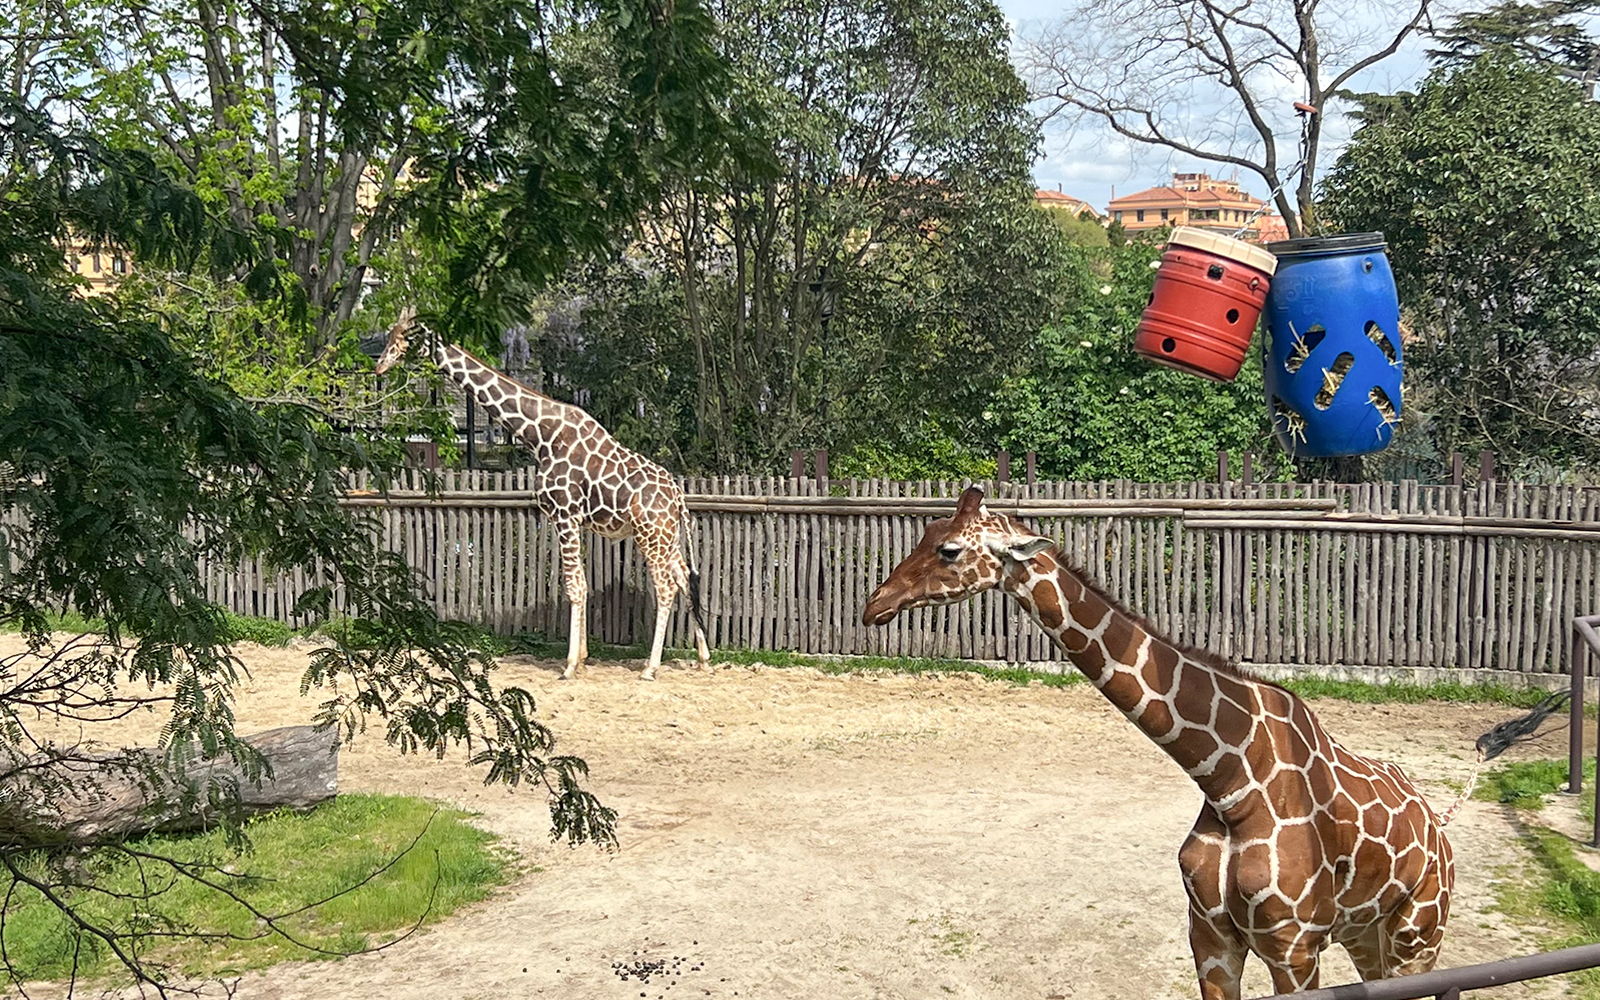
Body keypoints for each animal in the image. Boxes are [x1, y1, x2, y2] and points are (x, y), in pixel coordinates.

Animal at [375, 309, 711, 681]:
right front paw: (583, 658)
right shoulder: (572, 520)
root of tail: (678, 496)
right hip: (667, 536)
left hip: (649, 534)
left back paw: (651, 668)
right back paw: (703, 657)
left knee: (666, 587)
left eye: (404, 336)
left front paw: (569, 666)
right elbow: (581, 582)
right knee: (685, 578)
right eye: (390, 334)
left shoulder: (564, 514)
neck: (542, 435)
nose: (379, 366)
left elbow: (574, 586)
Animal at [862, 486, 1564, 999]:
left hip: (1420, 933)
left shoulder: (1293, 949)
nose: (875, 603)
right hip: (1369, 937)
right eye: (924, 535)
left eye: (950, 549)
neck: (1228, 780)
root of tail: (1441, 822)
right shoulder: (1211, 940)